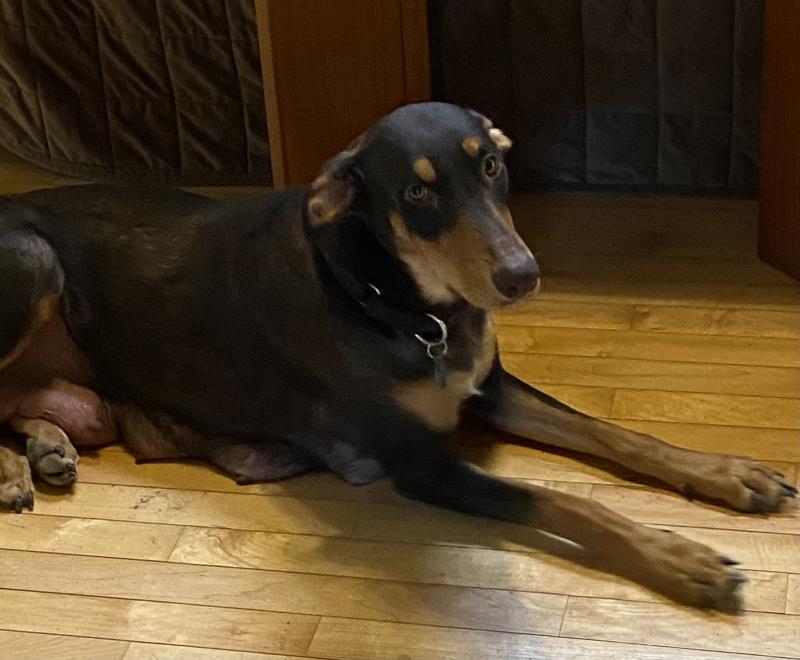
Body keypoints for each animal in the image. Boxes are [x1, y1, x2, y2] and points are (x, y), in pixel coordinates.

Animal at [0, 100, 792, 612]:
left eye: (492, 165)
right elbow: (566, 501)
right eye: (416, 190)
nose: (522, 276)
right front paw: (682, 559)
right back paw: (19, 470)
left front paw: (729, 474)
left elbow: (616, 433)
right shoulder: (421, 464)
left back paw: (46, 447)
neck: (408, 306)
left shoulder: (489, 385)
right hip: (32, 260)